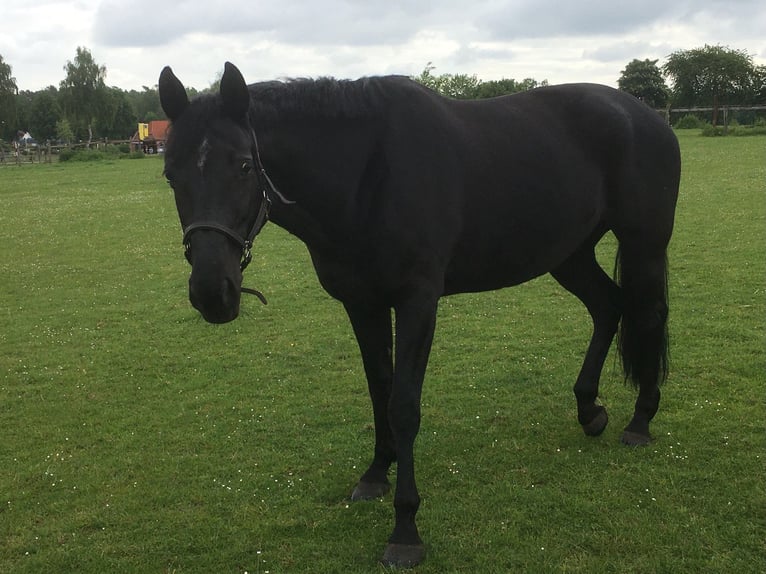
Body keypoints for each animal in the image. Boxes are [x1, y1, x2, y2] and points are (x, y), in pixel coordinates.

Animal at [158, 62, 680, 568]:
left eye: (244, 166)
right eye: (170, 175)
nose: (212, 293)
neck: (368, 176)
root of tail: (646, 115)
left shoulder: (417, 302)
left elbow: (404, 405)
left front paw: (405, 530)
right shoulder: (362, 304)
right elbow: (379, 390)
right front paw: (375, 474)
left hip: (644, 245)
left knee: (649, 315)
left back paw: (640, 421)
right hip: (569, 254)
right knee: (608, 307)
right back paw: (590, 410)